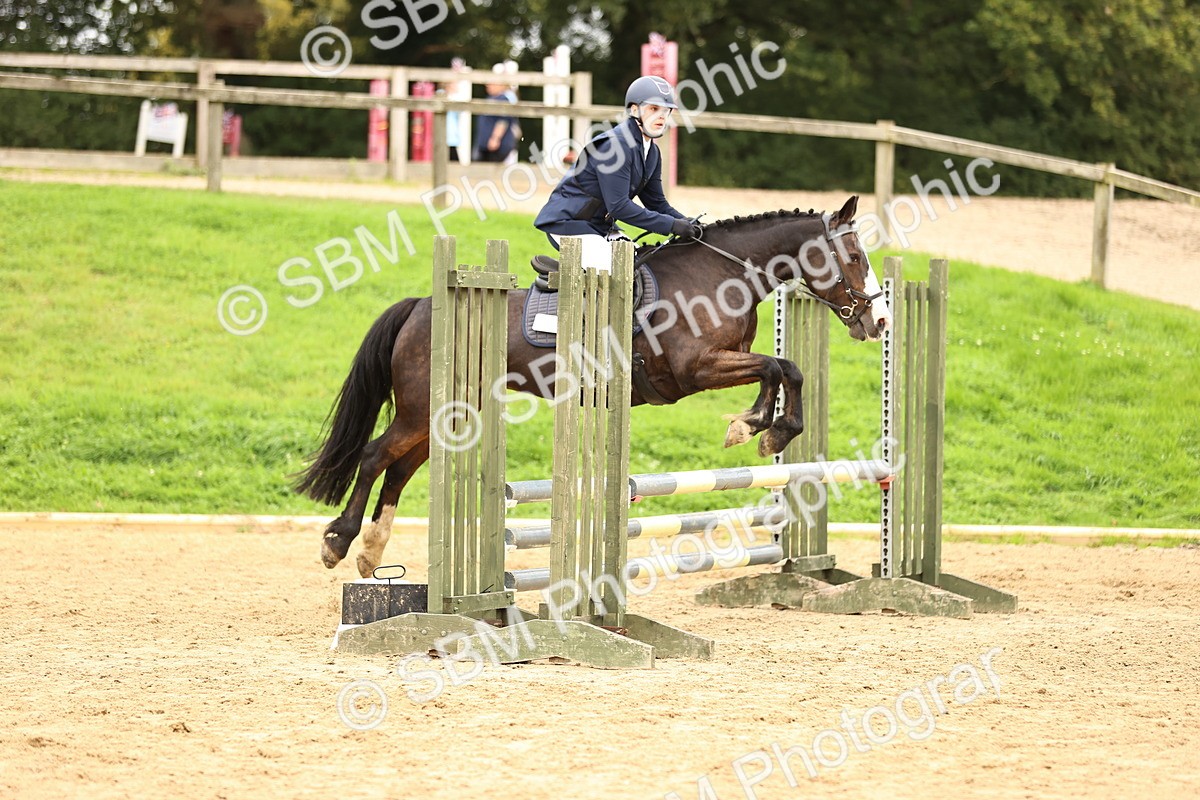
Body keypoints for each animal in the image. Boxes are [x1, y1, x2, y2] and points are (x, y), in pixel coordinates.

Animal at [295, 195, 892, 576]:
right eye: (854, 257)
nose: (880, 322)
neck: (722, 274)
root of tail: (423, 305)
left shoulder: (720, 363)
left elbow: (786, 369)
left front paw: (764, 428)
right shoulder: (695, 369)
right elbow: (774, 367)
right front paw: (757, 428)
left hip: (451, 415)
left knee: (399, 469)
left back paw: (371, 552)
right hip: (422, 411)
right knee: (375, 457)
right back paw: (338, 542)